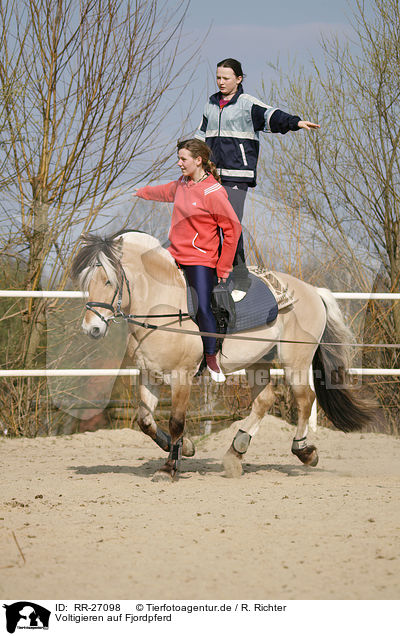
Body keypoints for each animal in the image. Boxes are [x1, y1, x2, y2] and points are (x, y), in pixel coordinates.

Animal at [71, 231, 376, 480]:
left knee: (304, 399)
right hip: (258, 362)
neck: (164, 307)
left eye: (108, 281)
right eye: (87, 282)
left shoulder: (182, 376)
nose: (92, 328)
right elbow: (145, 421)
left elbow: (176, 421)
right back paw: (236, 450)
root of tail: (312, 291)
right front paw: (185, 448)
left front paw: (168, 468)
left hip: (296, 361)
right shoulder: (149, 375)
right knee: (265, 400)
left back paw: (304, 452)